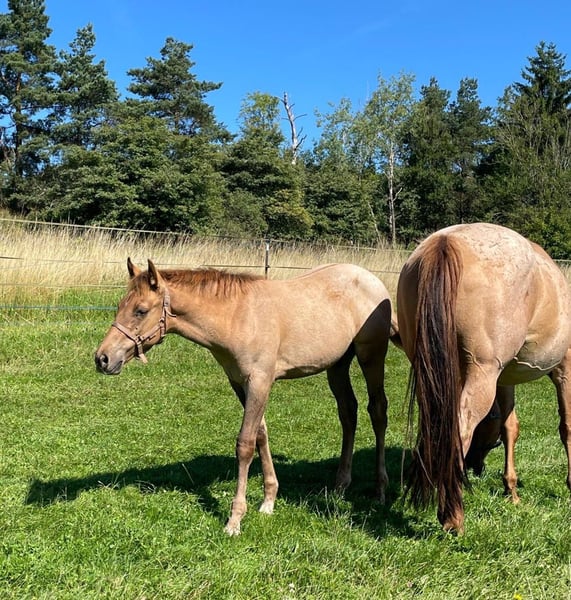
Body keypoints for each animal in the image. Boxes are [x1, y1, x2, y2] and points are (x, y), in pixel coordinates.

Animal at [95, 259, 397, 535]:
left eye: (141, 310)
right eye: (121, 305)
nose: (102, 358)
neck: (237, 316)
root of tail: (373, 280)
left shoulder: (260, 382)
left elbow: (245, 444)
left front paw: (235, 519)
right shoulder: (239, 383)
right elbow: (261, 434)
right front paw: (268, 500)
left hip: (371, 357)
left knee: (378, 411)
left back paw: (380, 490)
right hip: (337, 366)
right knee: (348, 412)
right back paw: (339, 486)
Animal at [396, 223, 571, 533]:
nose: (476, 466)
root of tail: (446, 242)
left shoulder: (504, 379)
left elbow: (510, 426)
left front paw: (511, 489)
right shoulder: (563, 369)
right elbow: (567, 426)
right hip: (481, 372)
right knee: (460, 426)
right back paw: (453, 516)